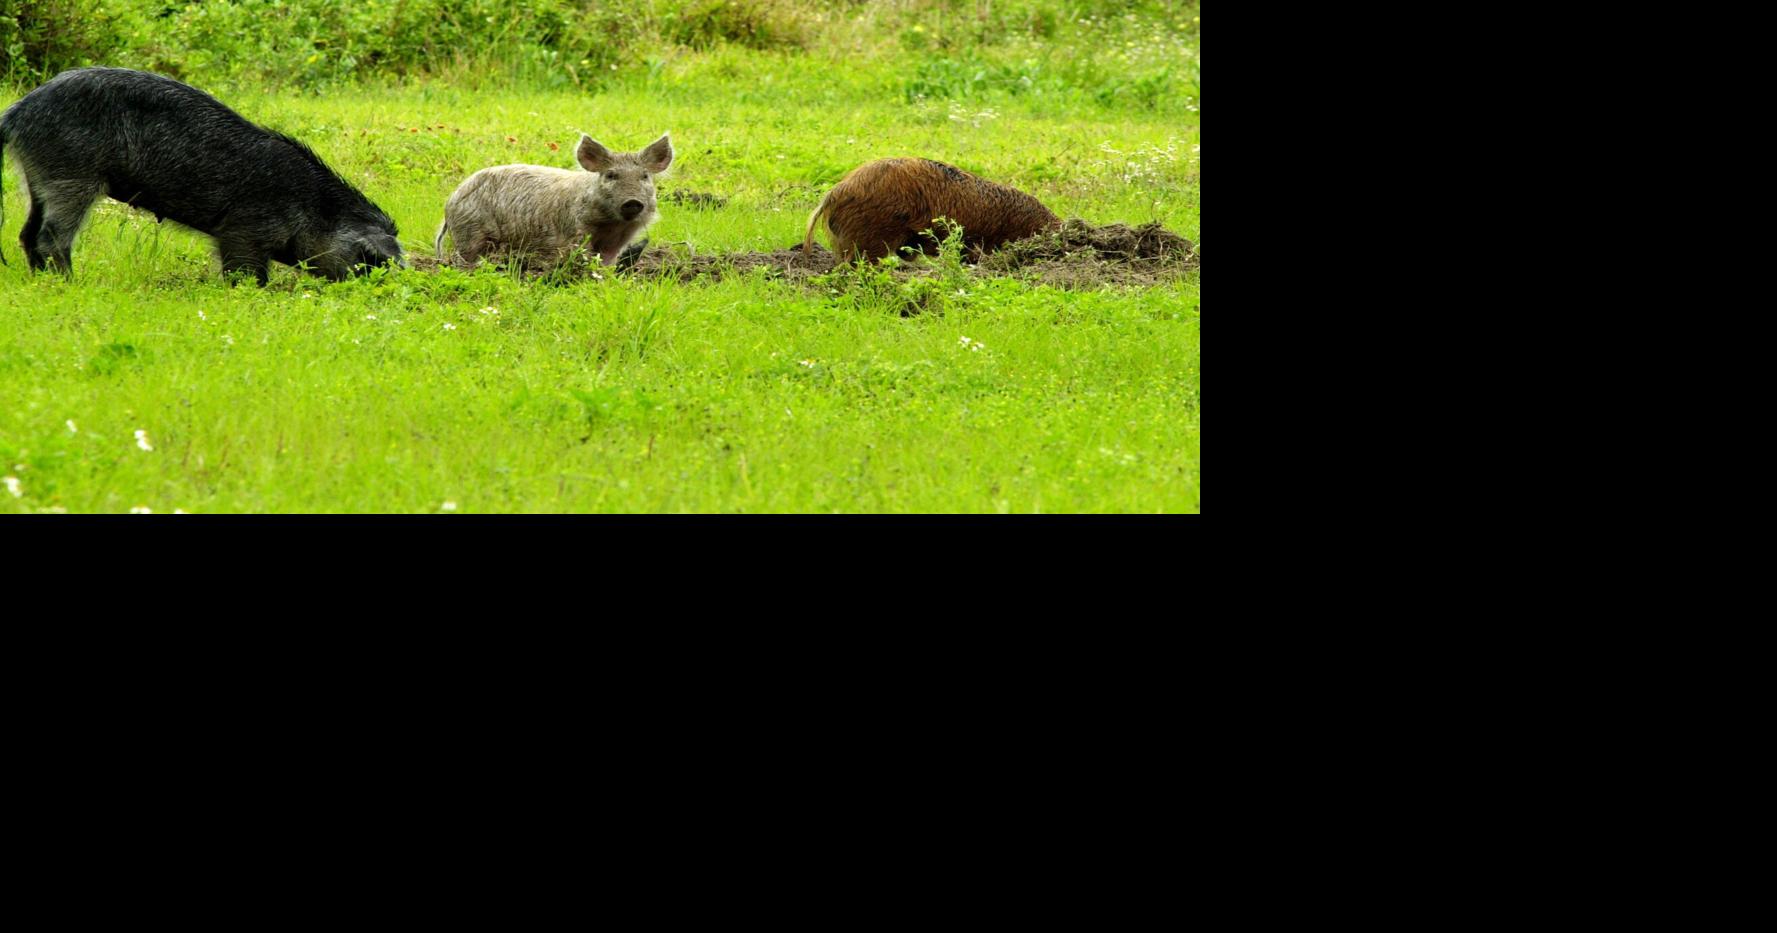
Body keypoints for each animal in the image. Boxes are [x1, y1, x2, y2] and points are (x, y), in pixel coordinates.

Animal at [0, 67, 402, 284]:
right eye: (367, 261)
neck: (312, 208)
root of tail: (16, 112)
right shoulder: (243, 229)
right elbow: (244, 270)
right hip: (70, 175)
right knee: (52, 235)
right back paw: (71, 282)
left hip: (37, 176)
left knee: (27, 232)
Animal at [435, 133, 672, 269]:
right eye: (611, 175)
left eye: (644, 176)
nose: (632, 201)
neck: (612, 225)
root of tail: (450, 201)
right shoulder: (575, 230)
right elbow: (580, 254)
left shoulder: (618, 240)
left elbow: (606, 261)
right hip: (470, 230)